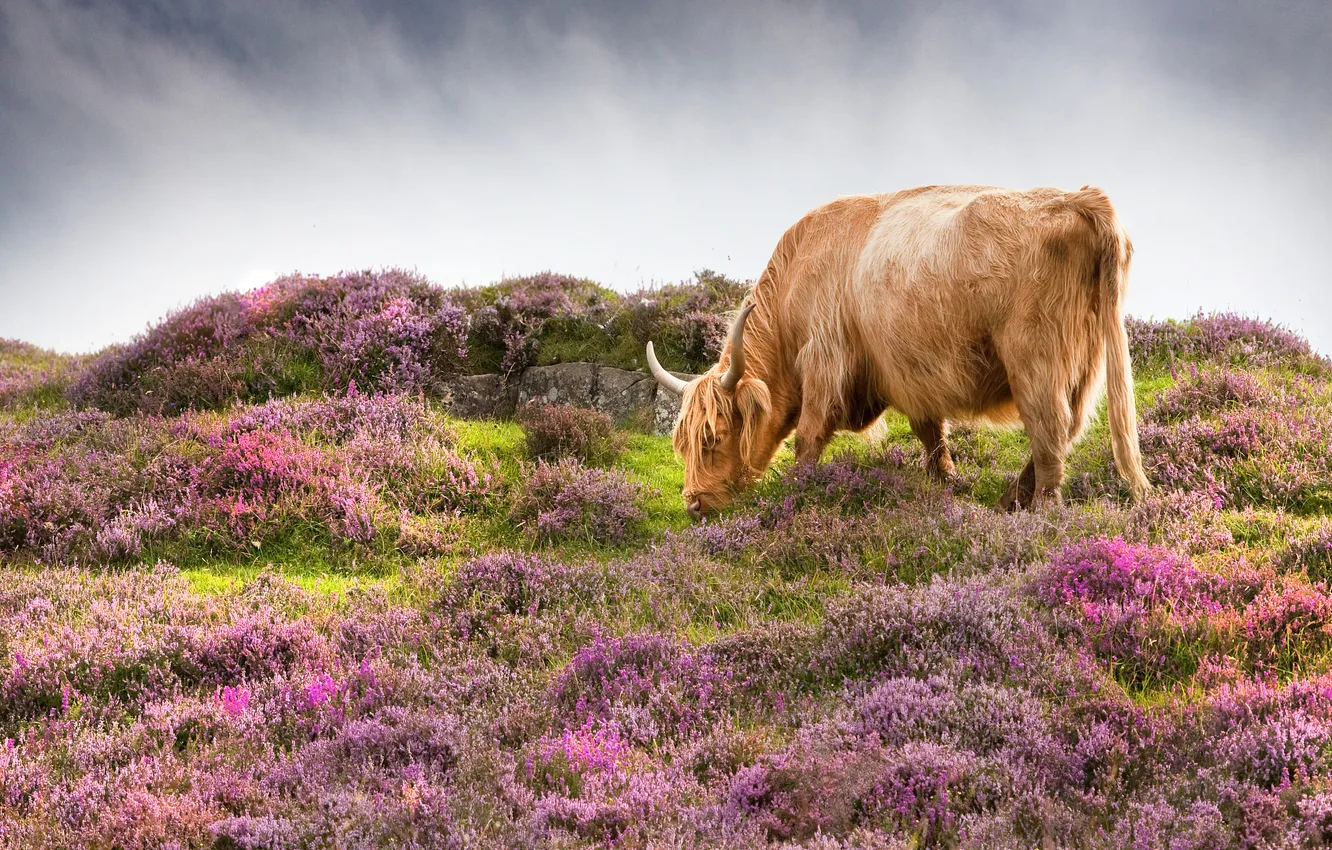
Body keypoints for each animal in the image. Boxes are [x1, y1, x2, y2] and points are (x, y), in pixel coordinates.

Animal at [645, 184, 1151, 519]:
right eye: (681, 444)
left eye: (713, 438)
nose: (695, 503)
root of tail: (1078, 199)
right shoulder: (911, 374)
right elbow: (931, 434)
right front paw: (944, 481)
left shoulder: (825, 358)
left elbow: (809, 435)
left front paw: (796, 491)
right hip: (1085, 360)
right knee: (1067, 426)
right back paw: (1010, 500)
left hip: (1035, 357)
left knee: (1050, 431)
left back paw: (1043, 512)